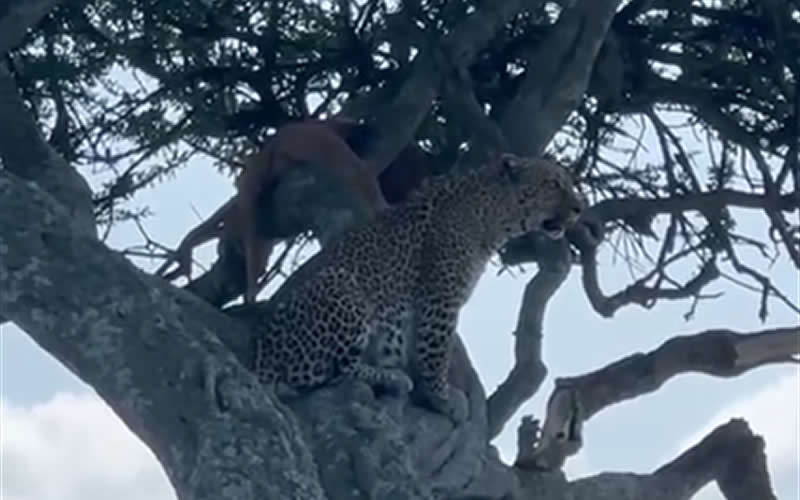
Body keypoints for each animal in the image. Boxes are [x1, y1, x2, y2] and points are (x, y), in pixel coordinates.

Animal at [250, 153, 584, 423]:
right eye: (553, 184)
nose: (580, 208)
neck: (492, 218)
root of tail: (261, 359)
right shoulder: (441, 298)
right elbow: (436, 351)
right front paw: (444, 399)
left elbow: (417, 347)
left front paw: (430, 394)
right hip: (342, 284)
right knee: (329, 373)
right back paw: (392, 378)